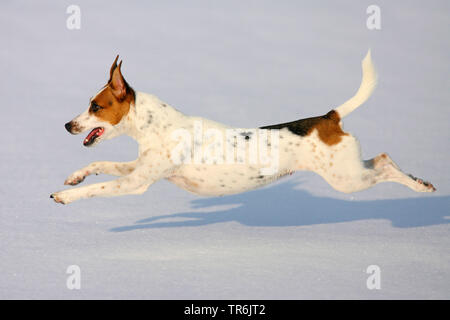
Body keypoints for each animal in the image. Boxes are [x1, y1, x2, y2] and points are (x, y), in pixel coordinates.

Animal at [50, 51, 436, 204]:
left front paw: (65, 196)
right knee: (382, 159)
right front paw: (74, 177)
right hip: (350, 170)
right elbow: (99, 164)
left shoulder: (135, 183)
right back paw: (420, 182)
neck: (157, 127)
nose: (67, 125)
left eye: (95, 106)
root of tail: (329, 118)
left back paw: (420, 186)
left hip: (348, 179)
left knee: (385, 163)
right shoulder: (139, 170)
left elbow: (99, 188)